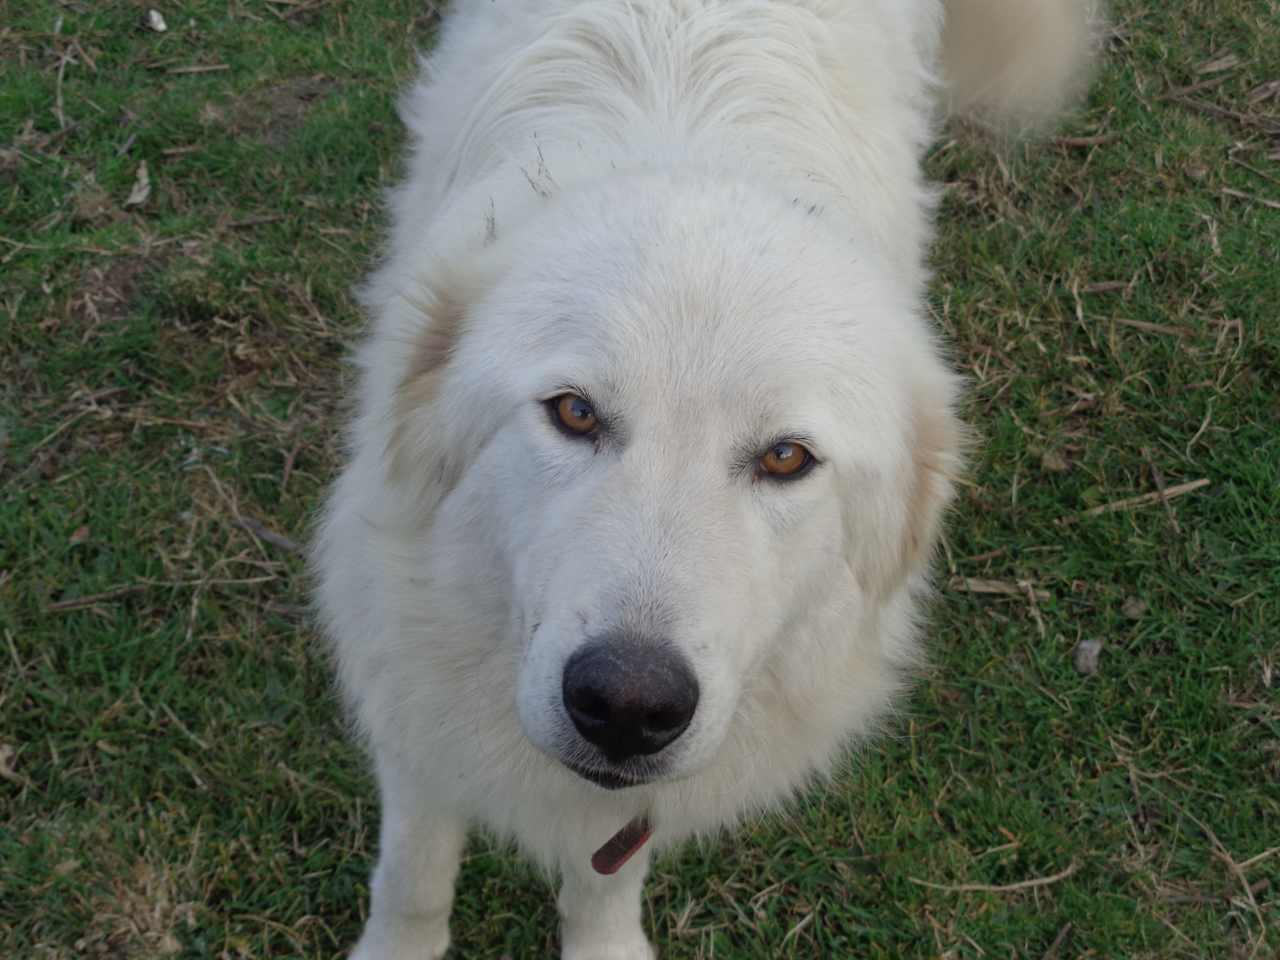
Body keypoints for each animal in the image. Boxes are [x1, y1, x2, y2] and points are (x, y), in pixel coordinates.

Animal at [314, 3, 1095, 957]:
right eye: (575, 413)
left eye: (786, 458)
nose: (627, 703)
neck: (690, 141)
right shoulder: (412, 697)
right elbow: (416, 877)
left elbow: (606, 877)